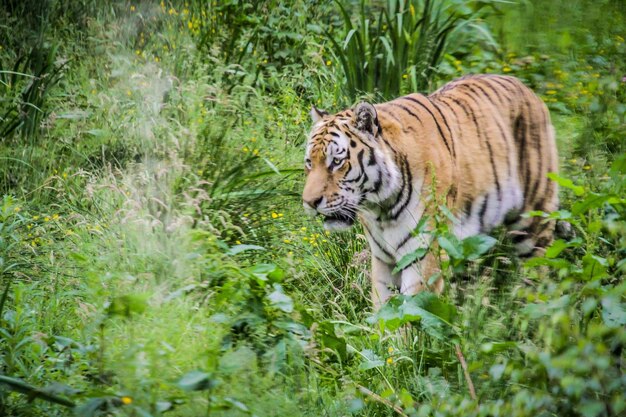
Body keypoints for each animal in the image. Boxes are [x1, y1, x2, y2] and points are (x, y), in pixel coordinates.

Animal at [302, 74, 556, 308]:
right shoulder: (382, 259)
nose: (309, 202)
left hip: (534, 220)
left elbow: (411, 313)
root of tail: (527, 88)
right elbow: (384, 312)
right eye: (309, 163)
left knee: (542, 272)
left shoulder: (424, 255)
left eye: (336, 162)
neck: (380, 207)